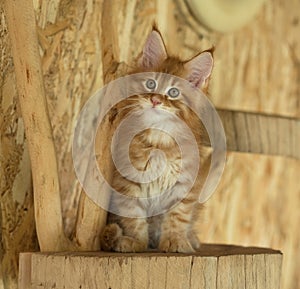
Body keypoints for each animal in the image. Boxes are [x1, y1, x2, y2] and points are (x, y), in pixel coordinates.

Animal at [101, 28, 213, 251]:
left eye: (174, 92)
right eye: (151, 83)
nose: (154, 100)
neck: (159, 135)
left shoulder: (186, 183)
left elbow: (177, 217)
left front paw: (175, 241)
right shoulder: (126, 182)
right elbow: (134, 216)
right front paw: (137, 242)